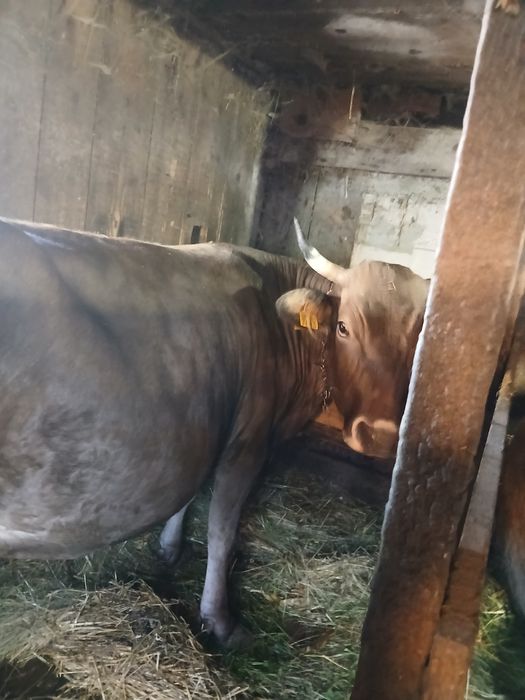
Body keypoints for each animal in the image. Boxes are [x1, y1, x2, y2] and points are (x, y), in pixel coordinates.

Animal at [0, 216, 428, 647]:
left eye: (416, 341)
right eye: (343, 327)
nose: (379, 435)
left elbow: (189, 495)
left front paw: (168, 549)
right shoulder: (247, 443)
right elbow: (221, 532)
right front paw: (221, 621)